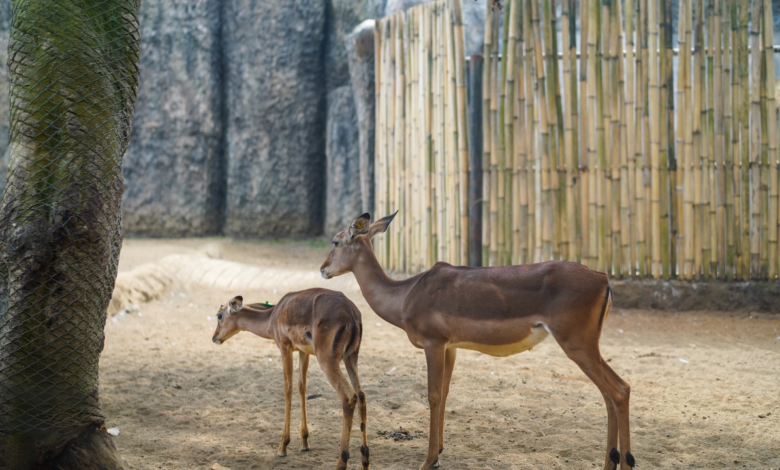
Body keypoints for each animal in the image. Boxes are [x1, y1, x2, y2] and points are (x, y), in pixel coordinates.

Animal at [211, 288, 369, 470]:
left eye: (219, 315)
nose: (214, 337)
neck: (273, 315)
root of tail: (350, 313)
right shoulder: (303, 351)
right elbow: (301, 386)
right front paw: (305, 442)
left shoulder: (285, 348)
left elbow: (288, 388)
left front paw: (283, 447)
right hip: (351, 358)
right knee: (361, 394)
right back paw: (365, 461)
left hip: (328, 362)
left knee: (349, 396)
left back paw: (341, 463)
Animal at [320, 212, 635, 470]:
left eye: (336, 241)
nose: (323, 268)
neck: (406, 294)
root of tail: (602, 278)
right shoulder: (450, 349)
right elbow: (446, 393)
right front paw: (439, 453)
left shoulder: (433, 344)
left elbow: (433, 395)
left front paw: (428, 460)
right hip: (587, 348)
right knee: (610, 394)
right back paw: (610, 462)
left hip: (577, 346)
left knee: (619, 390)